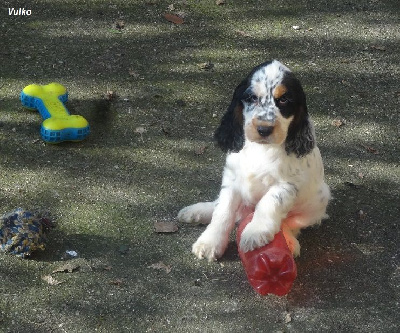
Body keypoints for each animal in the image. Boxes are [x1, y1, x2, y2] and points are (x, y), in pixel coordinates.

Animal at [179, 61, 332, 260]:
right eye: (251, 98)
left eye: (284, 99)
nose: (264, 129)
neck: (261, 148)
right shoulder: (232, 179)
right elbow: (223, 211)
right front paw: (210, 242)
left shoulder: (287, 185)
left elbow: (269, 202)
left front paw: (255, 232)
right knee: (221, 205)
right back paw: (196, 212)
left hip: (318, 201)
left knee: (289, 223)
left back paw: (290, 242)